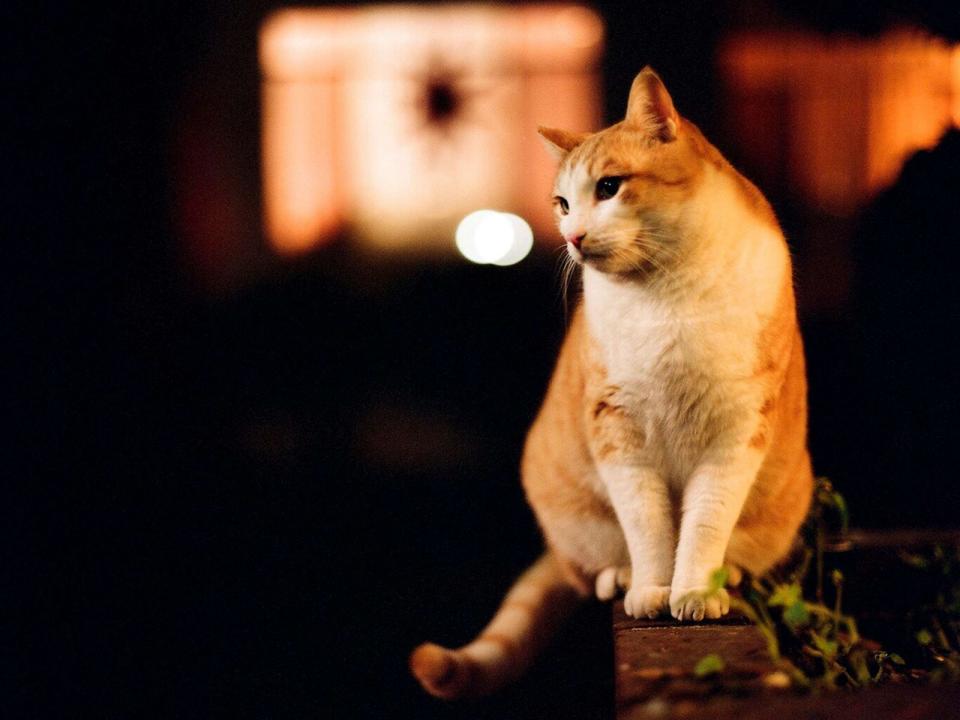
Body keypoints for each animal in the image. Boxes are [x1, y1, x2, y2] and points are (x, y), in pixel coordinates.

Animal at [408, 66, 812, 696]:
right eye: (562, 202)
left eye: (609, 188)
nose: (573, 236)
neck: (668, 291)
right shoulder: (618, 432)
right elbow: (648, 524)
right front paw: (651, 589)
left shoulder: (737, 430)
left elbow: (704, 522)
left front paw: (695, 591)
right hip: (567, 510)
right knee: (590, 567)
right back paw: (618, 577)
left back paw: (729, 574)